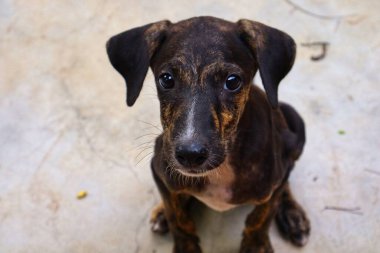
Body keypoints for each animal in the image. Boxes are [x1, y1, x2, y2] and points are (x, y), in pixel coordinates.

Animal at [105, 16, 310, 253]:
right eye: (166, 79)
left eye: (232, 81)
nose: (190, 155)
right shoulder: (158, 166)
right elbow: (178, 218)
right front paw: (184, 242)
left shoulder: (276, 179)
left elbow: (260, 217)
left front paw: (256, 245)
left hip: (295, 126)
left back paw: (293, 215)